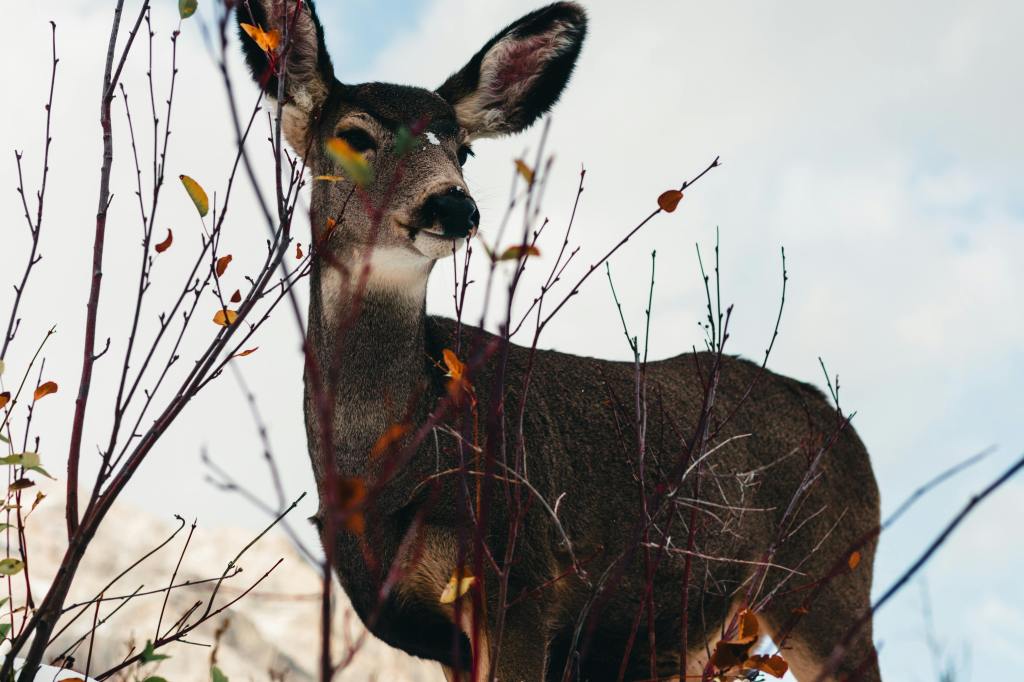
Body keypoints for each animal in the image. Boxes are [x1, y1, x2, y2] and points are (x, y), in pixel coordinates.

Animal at [237, 2, 881, 681]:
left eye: (464, 150)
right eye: (354, 136)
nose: (454, 206)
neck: (388, 466)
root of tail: (848, 432)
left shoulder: (521, 577)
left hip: (828, 584)